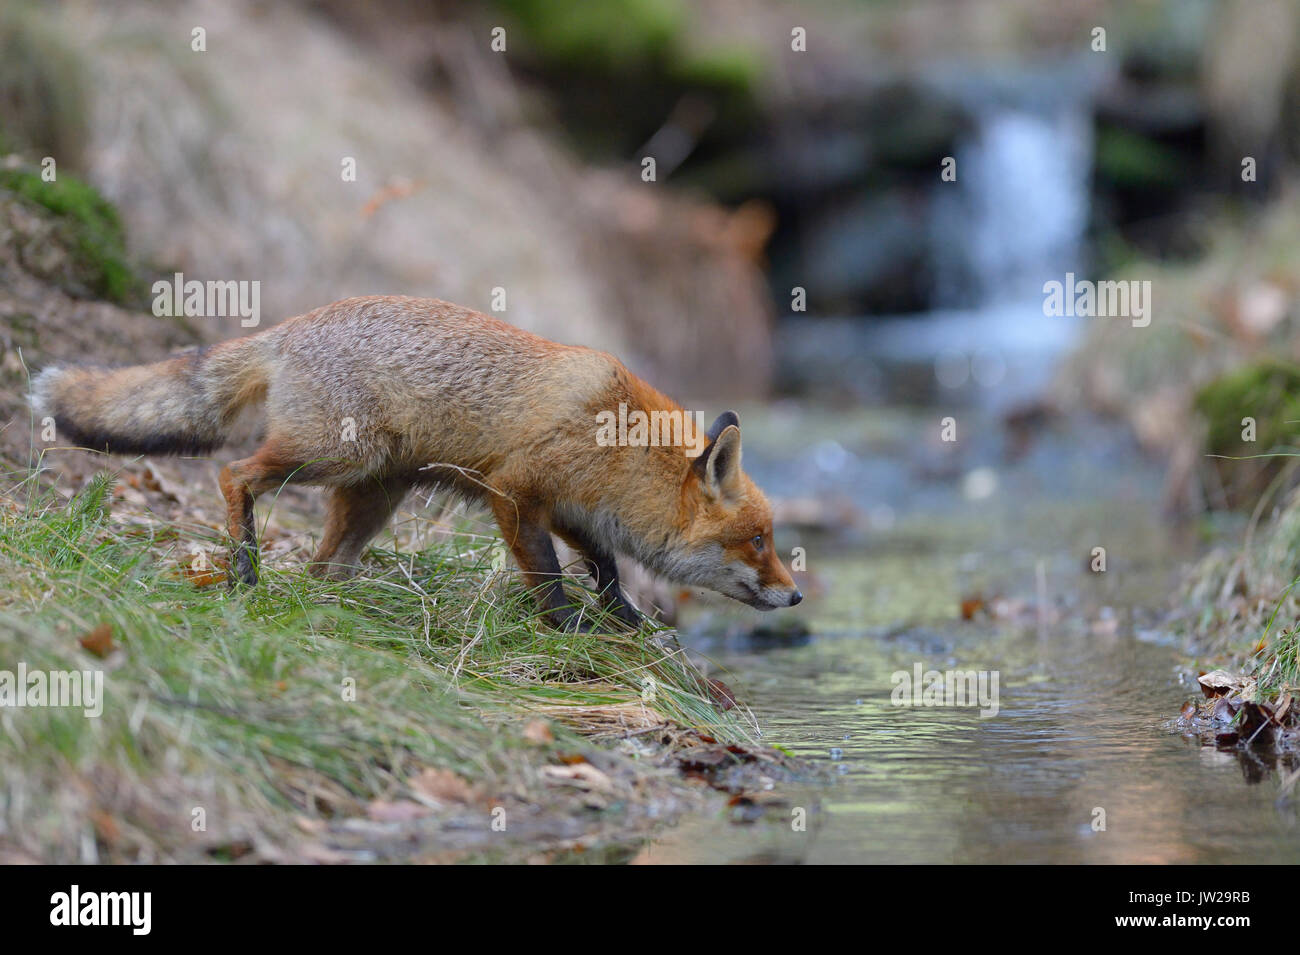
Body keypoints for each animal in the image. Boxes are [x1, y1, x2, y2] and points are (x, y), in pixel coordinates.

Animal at [32, 294, 800, 631]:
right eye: (759, 541)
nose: (795, 596)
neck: (618, 440)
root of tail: (290, 326)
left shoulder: (570, 504)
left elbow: (606, 565)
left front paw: (625, 618)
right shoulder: (513, 488)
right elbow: (548, 572)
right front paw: (564, 626)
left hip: (372, 494)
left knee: (322, 567)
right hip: (337, 454)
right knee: (233, 475)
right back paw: (245, 568)